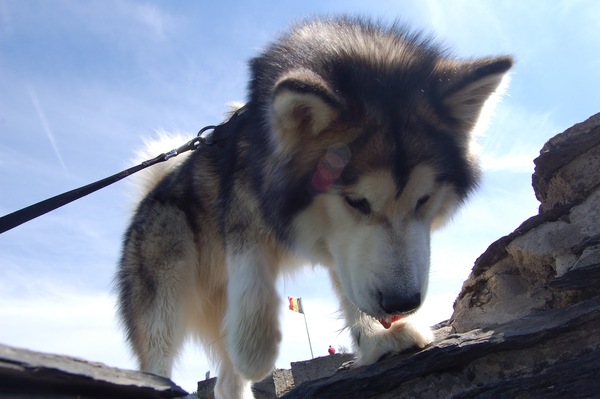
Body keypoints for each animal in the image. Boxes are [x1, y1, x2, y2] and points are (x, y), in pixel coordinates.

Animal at [116, 16, 510, 399]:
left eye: (424, 199)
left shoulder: (345, 246)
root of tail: (149, 195)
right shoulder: (244, 201)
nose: (401, 303)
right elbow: (251, 265)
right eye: (356, 200)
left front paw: (377, 336)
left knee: (226, 382)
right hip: (166, 289)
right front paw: (255, 347)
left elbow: (351, 281)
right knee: (161, 353)